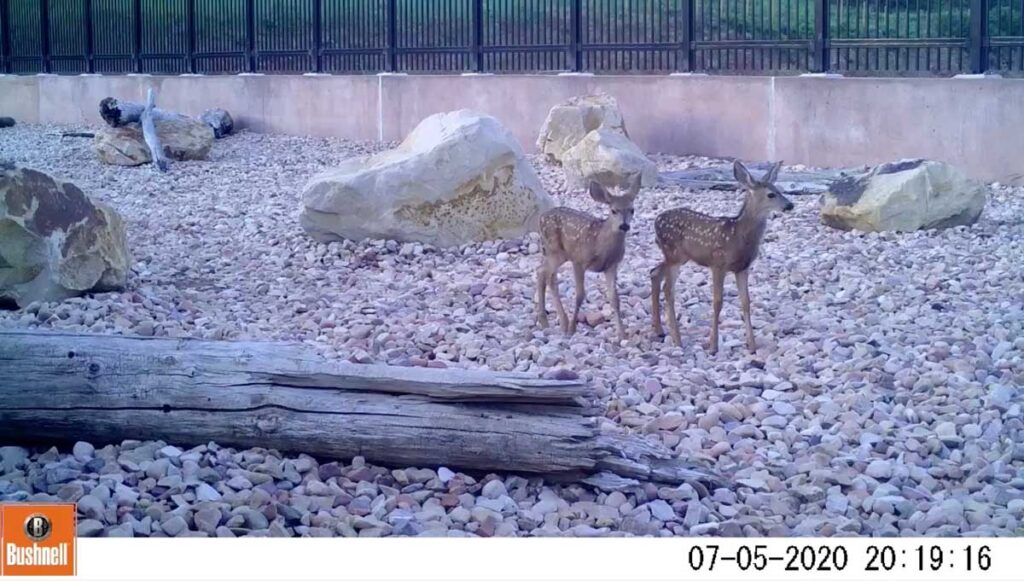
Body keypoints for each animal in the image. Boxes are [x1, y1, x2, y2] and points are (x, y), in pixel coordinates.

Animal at [536, 175, 638, 344]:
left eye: (632, 210)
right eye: (613, 210)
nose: (624, 226)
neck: (601, 244)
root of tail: (541, 217)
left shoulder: (612, 266)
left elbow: (614, 298)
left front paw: (622, 334)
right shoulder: (579, 260)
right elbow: (579, 295)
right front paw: (572, 329)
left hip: (558, 254)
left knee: (548, 275)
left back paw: (561, 322)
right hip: (554, 251)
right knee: (541, 272)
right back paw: (548, 322)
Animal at [651, 161, 794, 356]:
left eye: (779, 189)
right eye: (771, 194)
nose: (790, 205)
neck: (738, 236)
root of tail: (656, 221)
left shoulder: (743, 268)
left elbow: (746, 302)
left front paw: (752, 345)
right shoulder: (718, 263)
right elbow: (717, 302)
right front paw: (713, 346)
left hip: (677, 257)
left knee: (654, 272)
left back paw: (659, 330)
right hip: (673, 254)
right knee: (668, 289)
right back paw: (677, 340)